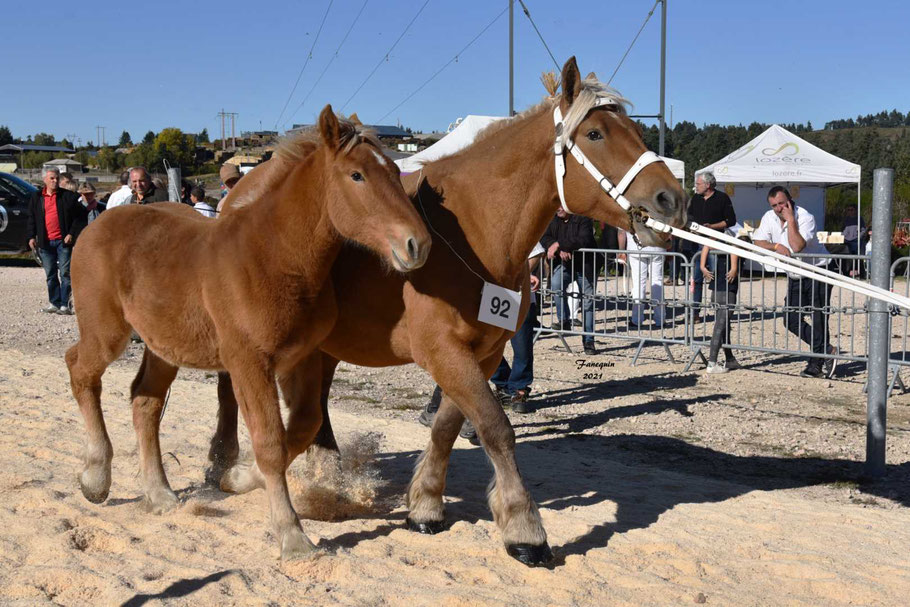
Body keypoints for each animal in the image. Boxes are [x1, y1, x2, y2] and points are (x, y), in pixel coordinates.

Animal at [65, 104, 434, 560]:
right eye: (357, 176)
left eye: (394, 171)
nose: (417, 244)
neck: (274, 256)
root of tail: (97, 222)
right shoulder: (248, 363)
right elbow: (271, 442)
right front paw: (292, 536)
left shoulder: (302, 358)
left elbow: (302, 428)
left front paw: (235, 478)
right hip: (107, 331)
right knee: (80, 371)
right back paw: (96, 477)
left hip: (163, 346)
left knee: (145, 402)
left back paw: (159, 493)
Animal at [207, 57, 688, 564]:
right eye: (595, 133)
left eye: (636, 129)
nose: (672, 200)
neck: (473, 233)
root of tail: (238, 194)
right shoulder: (442, 350)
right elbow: (495, 427)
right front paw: (524, 527)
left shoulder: (484, 353)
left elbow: (447, 426)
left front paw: (426, 504)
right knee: (233, 392)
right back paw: (225, 463)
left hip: (321, 348)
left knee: (313, 414)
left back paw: (326, 477)